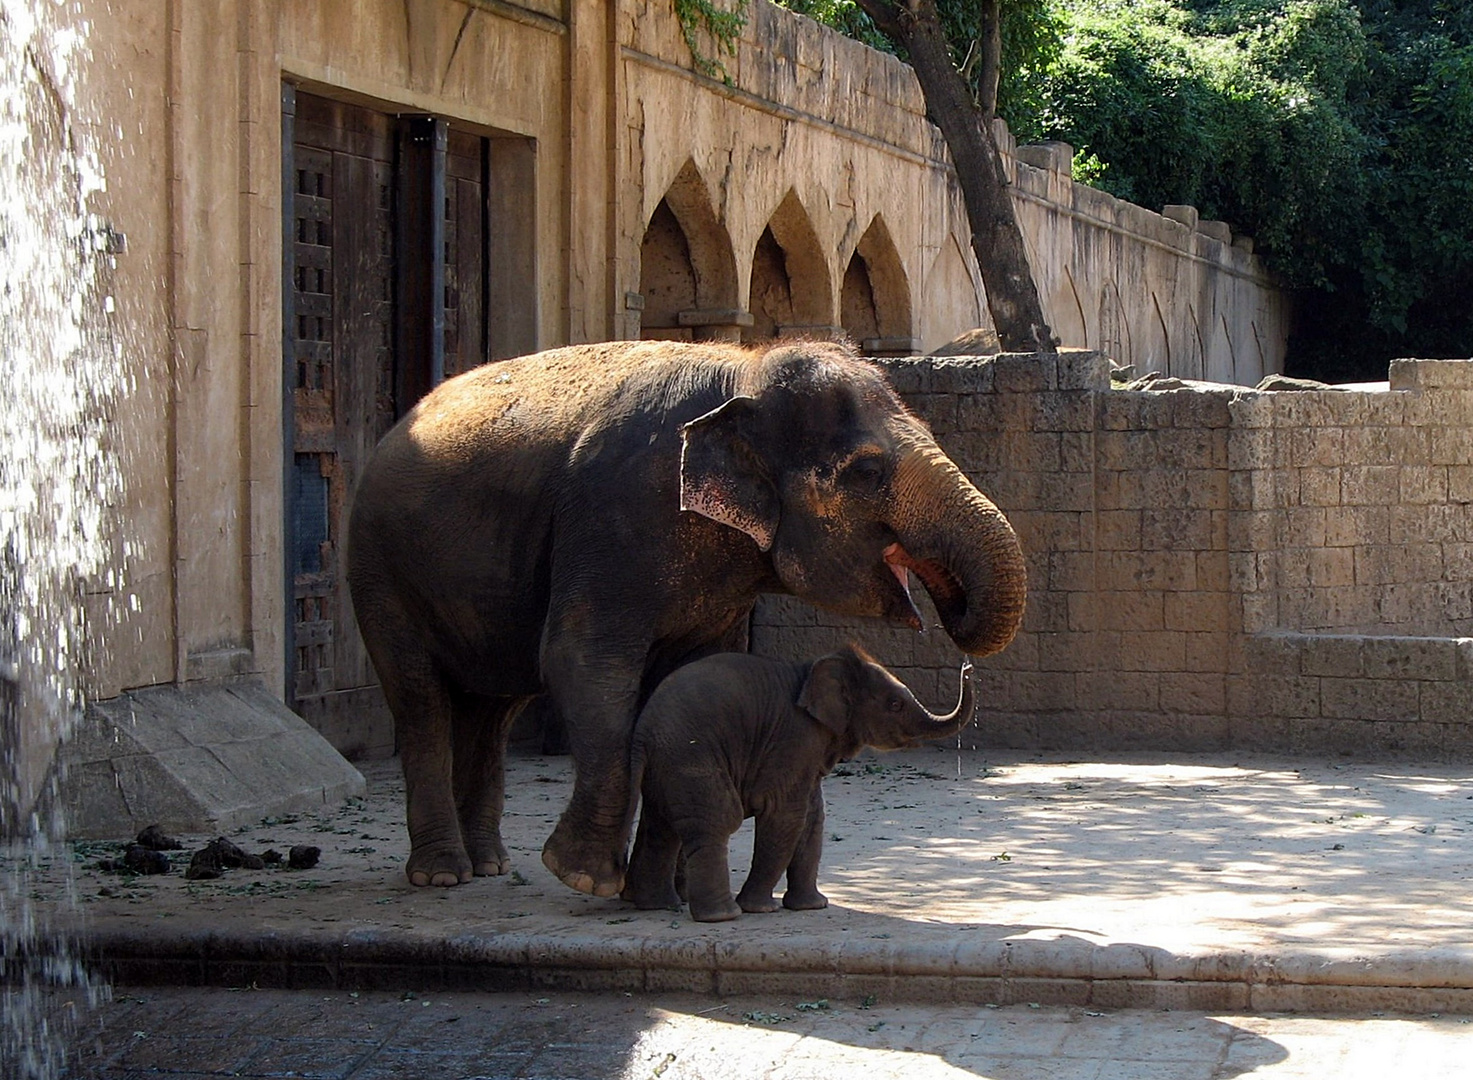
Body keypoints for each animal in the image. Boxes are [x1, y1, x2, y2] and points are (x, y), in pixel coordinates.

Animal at [350, 338, 1031, 895]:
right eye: (867, 470)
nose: (963, 659)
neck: (744, 369)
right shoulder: (615, 512)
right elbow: (581, 659)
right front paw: (585, 879)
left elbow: (695, 674)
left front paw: (669, 883)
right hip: (378, 570)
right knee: (422, 700)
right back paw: (443, 875)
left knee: (492, 710)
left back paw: (489, 867)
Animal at [627, 645, 972, 925]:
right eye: (895, 705)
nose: (967, 668)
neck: (810, 670)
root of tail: (642, 732)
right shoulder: (795, 737)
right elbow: (787, 815)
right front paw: (760, 909)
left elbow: (813, 819)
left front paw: (812, 907)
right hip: (690, 755)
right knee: (717, 820)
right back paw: (724, 916)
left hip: (668, 764)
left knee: (660, 827)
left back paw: (659, 906)